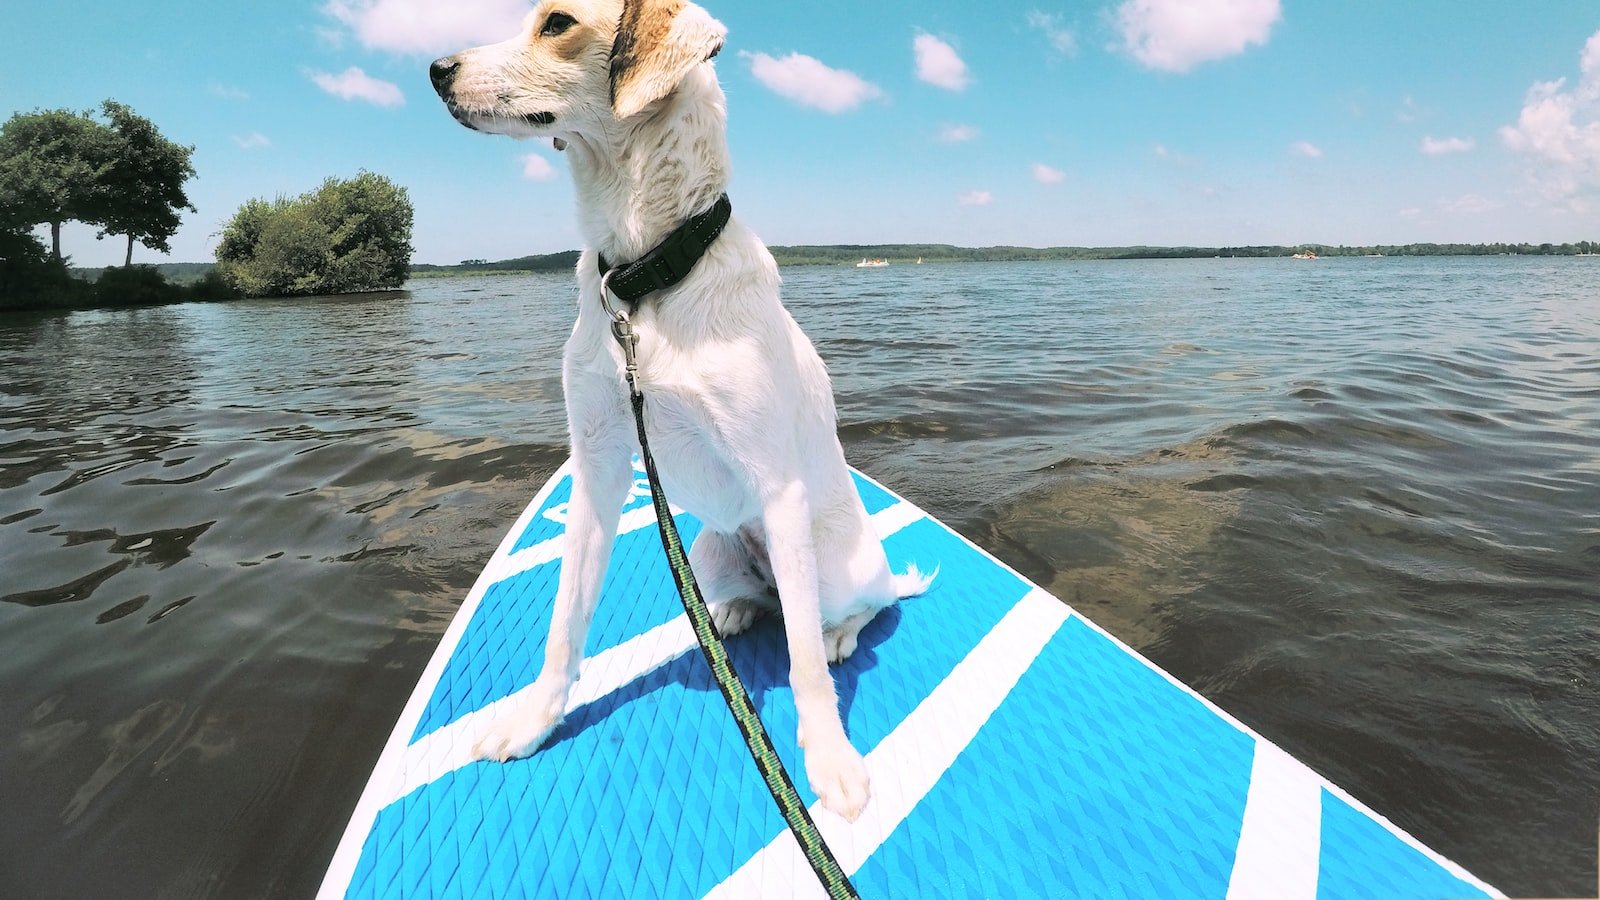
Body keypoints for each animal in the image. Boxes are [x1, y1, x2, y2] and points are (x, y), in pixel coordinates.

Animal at [432, 0, 934, 819]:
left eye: (556, 23)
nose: (435, 69)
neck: (644, 281)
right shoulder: (598, 464)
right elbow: (564, 624)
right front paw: (532, 723)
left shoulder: (777, 485)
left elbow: (801, 663)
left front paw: (831, 762)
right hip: (705, 548)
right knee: (765, 601)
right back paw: (730, 611)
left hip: (831, 564)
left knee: (847, 611)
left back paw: (840, 633)